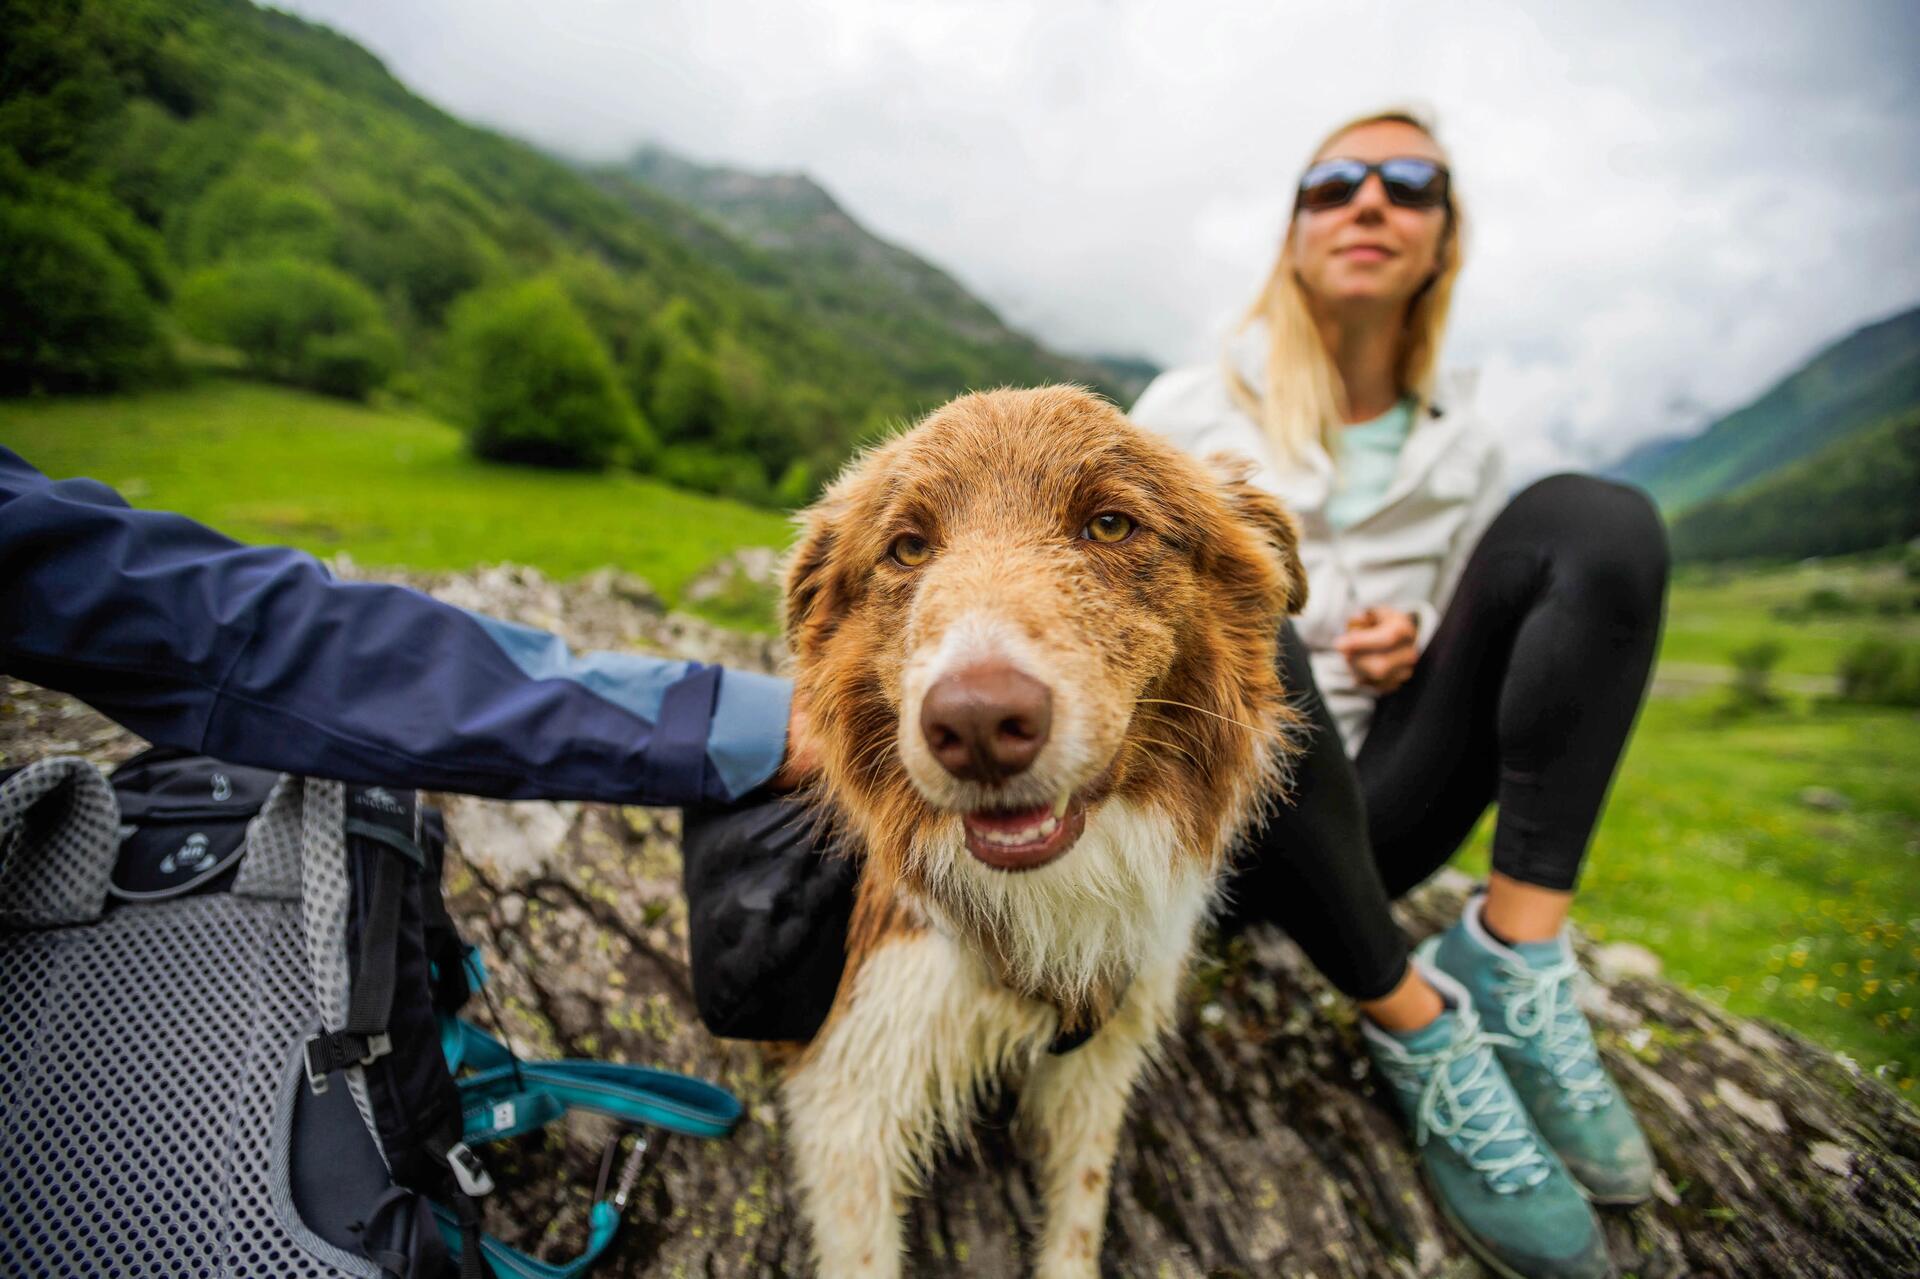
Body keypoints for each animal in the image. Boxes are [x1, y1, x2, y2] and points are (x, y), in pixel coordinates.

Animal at [779, 384, 1305, 1267]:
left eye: (1110, 524)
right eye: (908, 547)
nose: (979, 724)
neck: (1045, 908)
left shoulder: (1100, 1055)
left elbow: (1079, 1210)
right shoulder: (852, 1094)